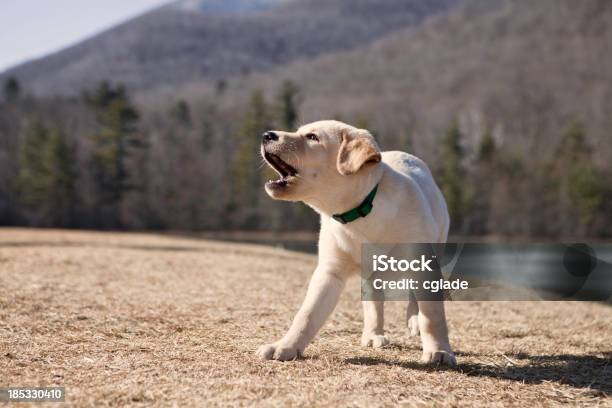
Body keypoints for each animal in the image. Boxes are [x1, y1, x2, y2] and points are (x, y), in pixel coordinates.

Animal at [255, 119, 454, 364]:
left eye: (312, 137)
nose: (266, 135)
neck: (361, 211)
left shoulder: (423, 265)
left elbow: (432, 315)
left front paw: (439, 351)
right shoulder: (330, 270)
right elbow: (307, 313)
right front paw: (286, 346)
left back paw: (412, 320)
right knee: (374, 301)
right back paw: (373, 334)